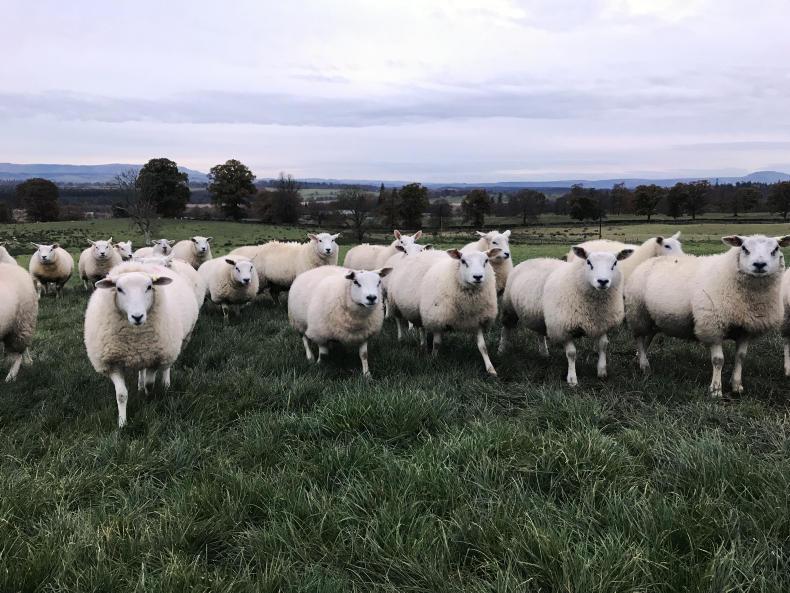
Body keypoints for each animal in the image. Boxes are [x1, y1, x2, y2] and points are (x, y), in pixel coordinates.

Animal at [84, 261, 199, 427]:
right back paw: (139, 384)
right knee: (141, 370)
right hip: (143, 354)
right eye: (119, 289)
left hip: (173, 345)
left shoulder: (156, 358)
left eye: (149, 287)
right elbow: (121, 394)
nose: (137, 316)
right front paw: (122, 423)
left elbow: (150, 385)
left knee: (167, 367)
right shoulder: (112, 363)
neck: (135, 338)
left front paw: (148, 401)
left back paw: (165, 384)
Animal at [500, 246, 634, 386]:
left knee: (540, 332)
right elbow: (571, 353)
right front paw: (572, 379)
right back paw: (502, 349)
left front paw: (602, 371)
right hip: (509, 307)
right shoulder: (563, 327)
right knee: (506, 328)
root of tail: (531, 259)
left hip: (539, 315)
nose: (603, 281)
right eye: (588, 262)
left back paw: (544, 353)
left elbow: (603, 345)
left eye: (615, 263)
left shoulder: (602, 323)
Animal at [625, 235, 790, 396]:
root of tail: (648, 261)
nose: (759, 264)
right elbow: (718, 360)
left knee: (647, 338)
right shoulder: (713, 326)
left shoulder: (746, 329)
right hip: (638, 312)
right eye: (744, 248)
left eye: (776, 249)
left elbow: (741, 357)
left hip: (652, 317)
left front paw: (736, 385)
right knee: (639, 338)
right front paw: (716, 389)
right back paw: (644, 365)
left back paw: (639, 358)